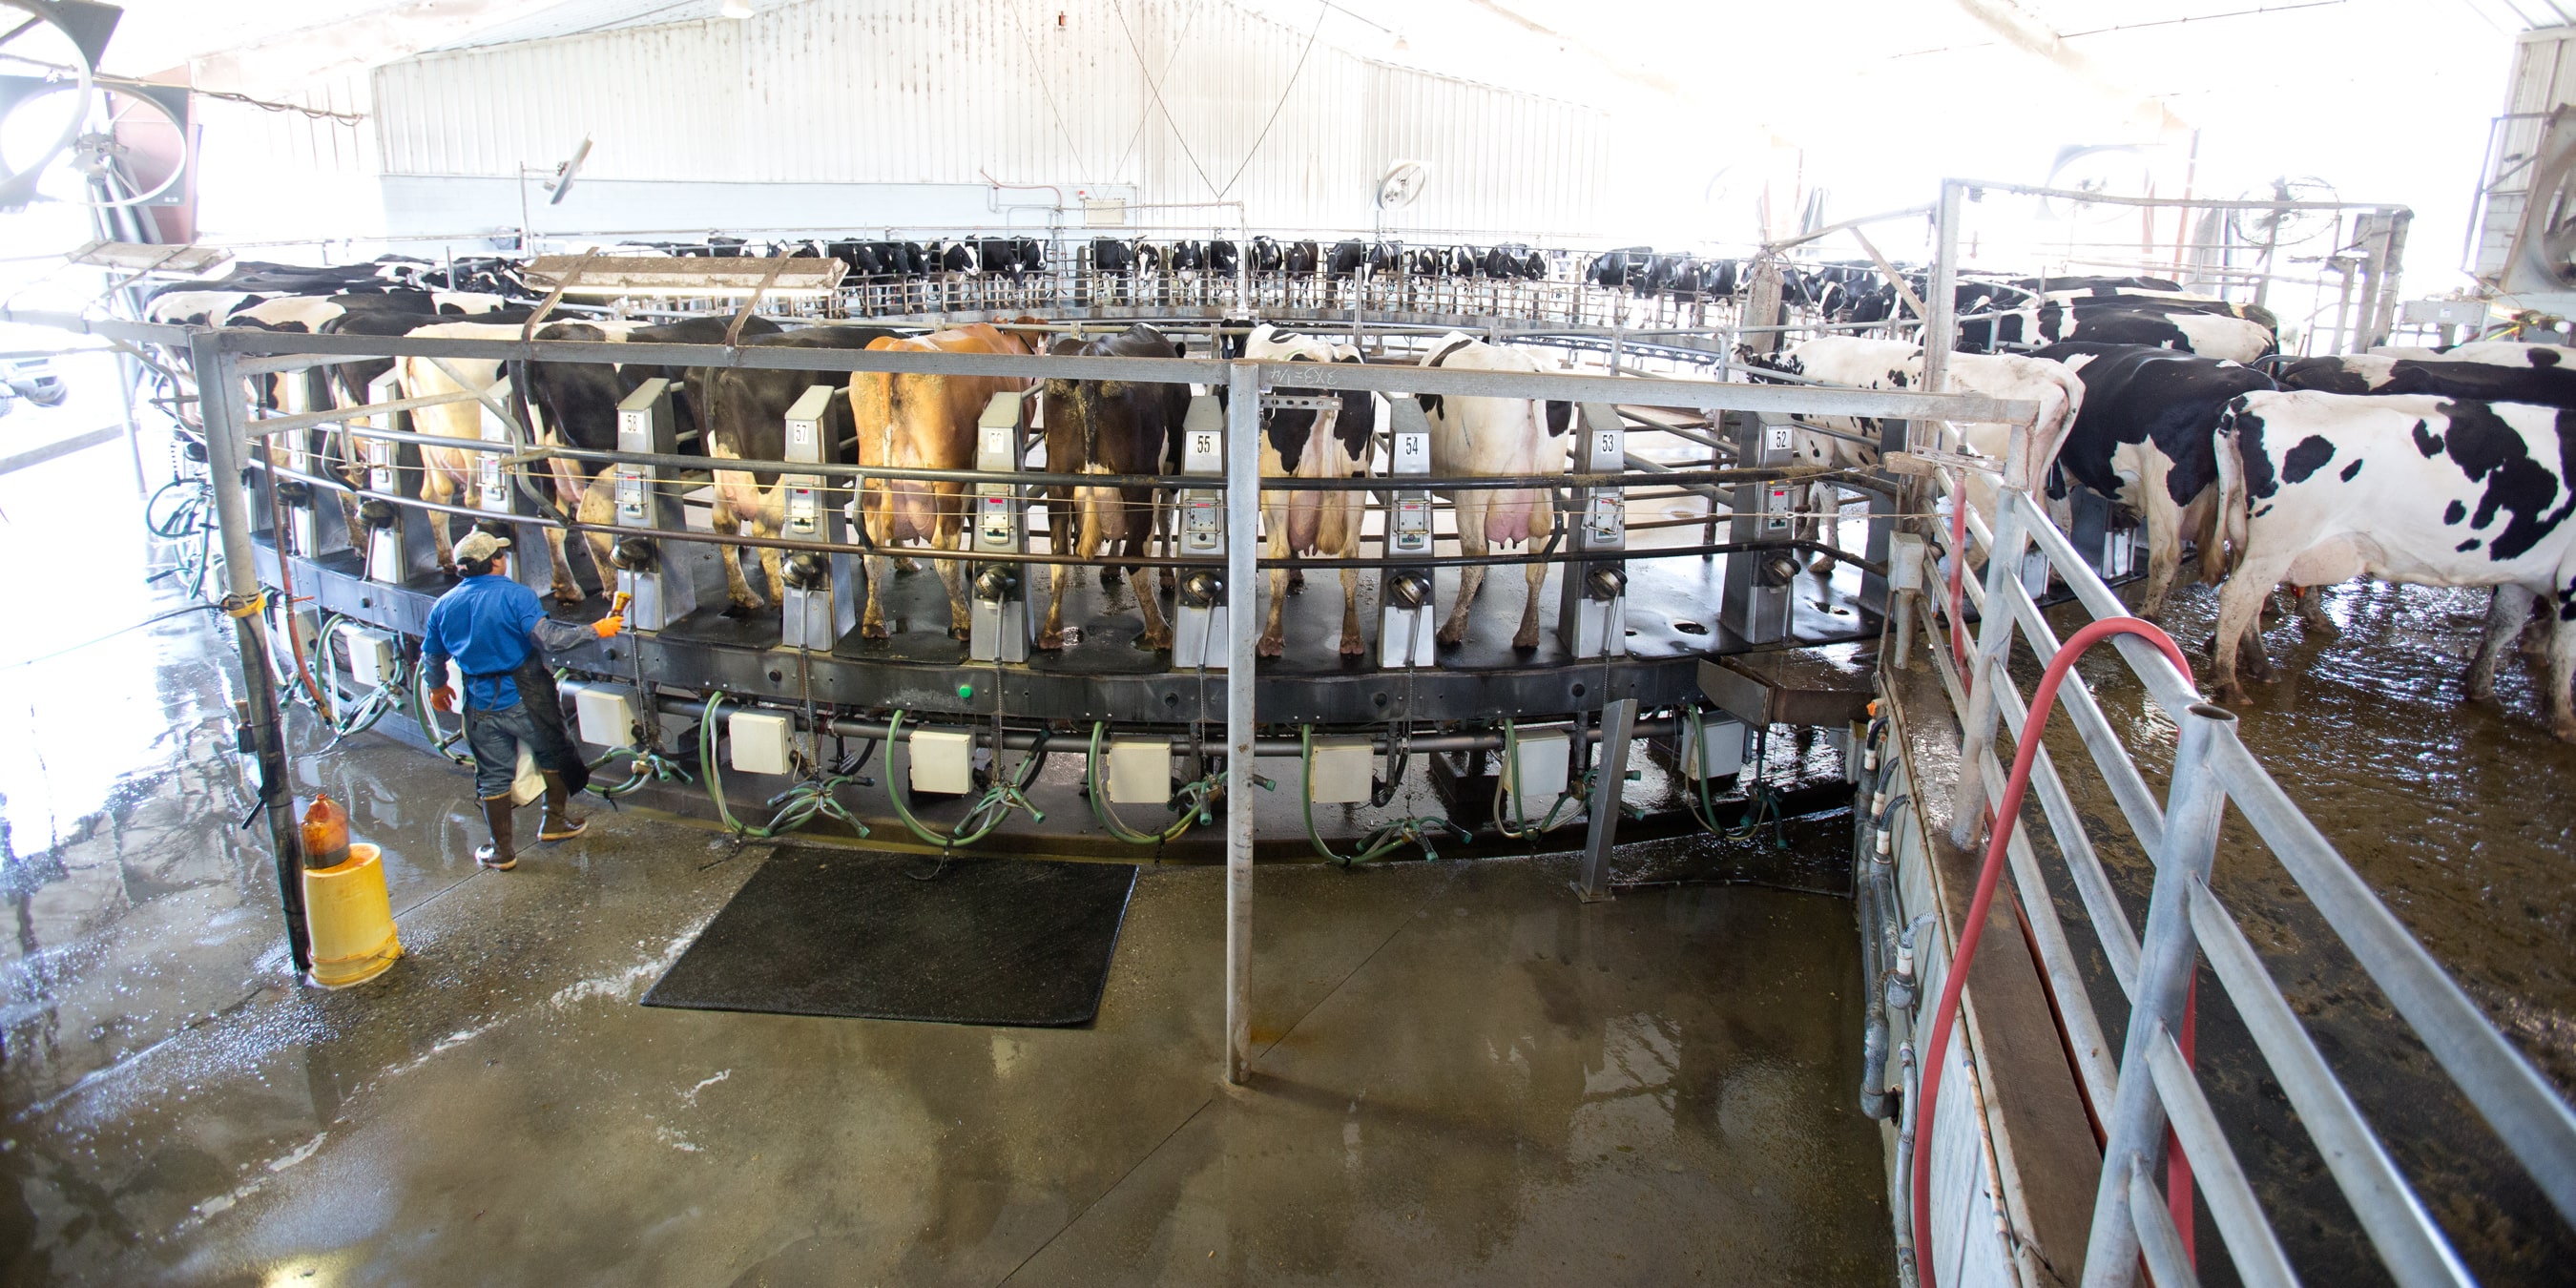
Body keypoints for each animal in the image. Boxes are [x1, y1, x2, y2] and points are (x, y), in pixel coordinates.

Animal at [2215, 388, 2576, 737]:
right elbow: (2563, 652)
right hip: (2280, 543)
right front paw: (2562, 720)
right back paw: (2228, 683)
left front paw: (2481, 688)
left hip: (2255, 541)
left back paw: (2261, 666)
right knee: (2238, 596)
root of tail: (2256, 400)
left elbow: (2502, 627)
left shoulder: (2520, 574)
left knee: (2251, 600)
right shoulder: (2570, 579)